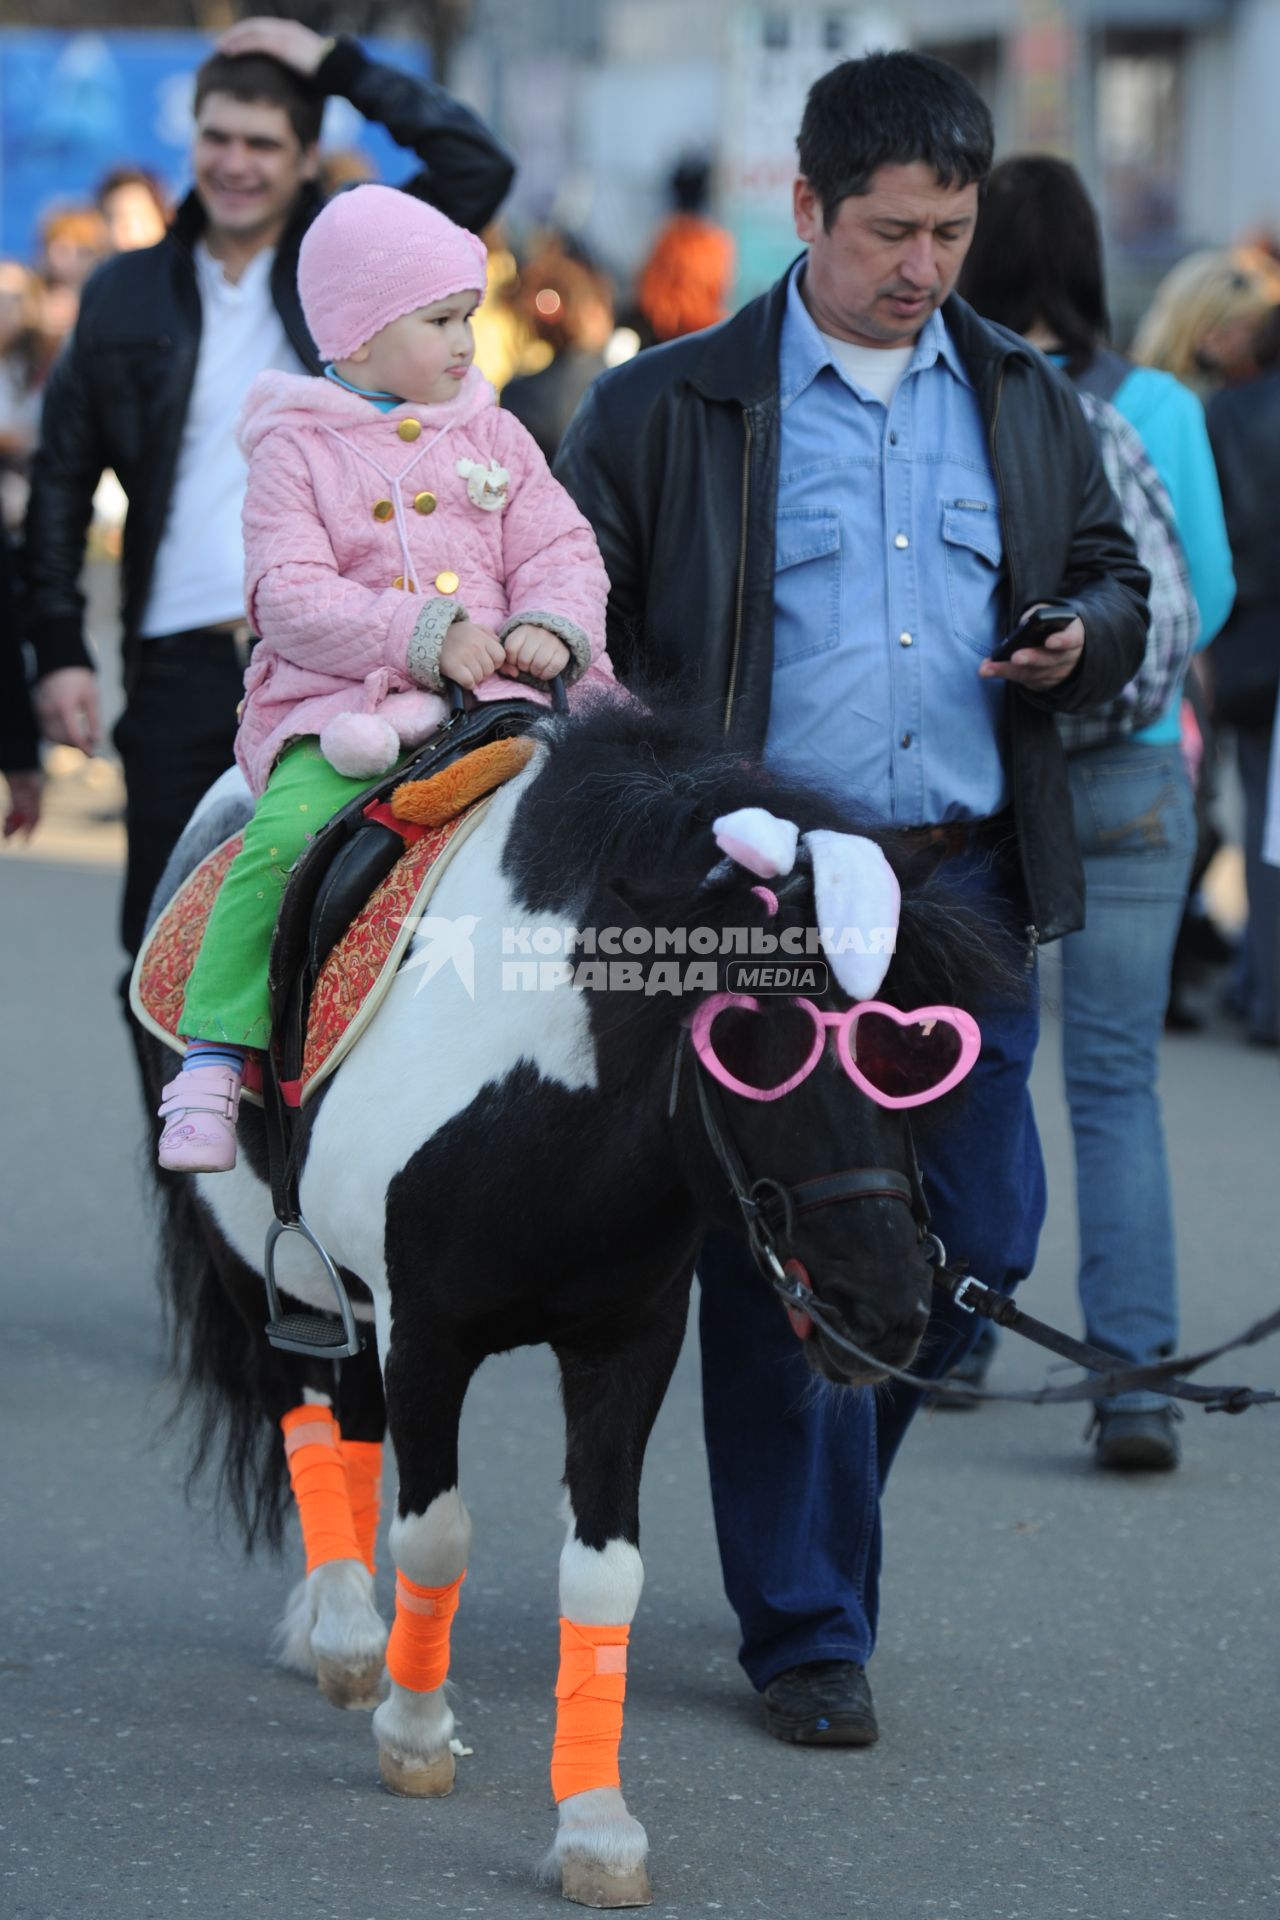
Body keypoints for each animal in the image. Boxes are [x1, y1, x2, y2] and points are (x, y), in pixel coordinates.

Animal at [147, 698, 997, 1912]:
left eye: (915, 1043)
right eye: (751, 1039)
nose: (880, 1306)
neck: (540, 1096)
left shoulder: (627, 1341)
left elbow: (602, 1575)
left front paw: (595, 1824)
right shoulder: (426, 1334)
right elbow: (436, 1538)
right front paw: (416, 1731)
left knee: (348, 1426)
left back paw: (339, 1627)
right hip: (250, 1257)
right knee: (301, 1408)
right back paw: (349, 1632)